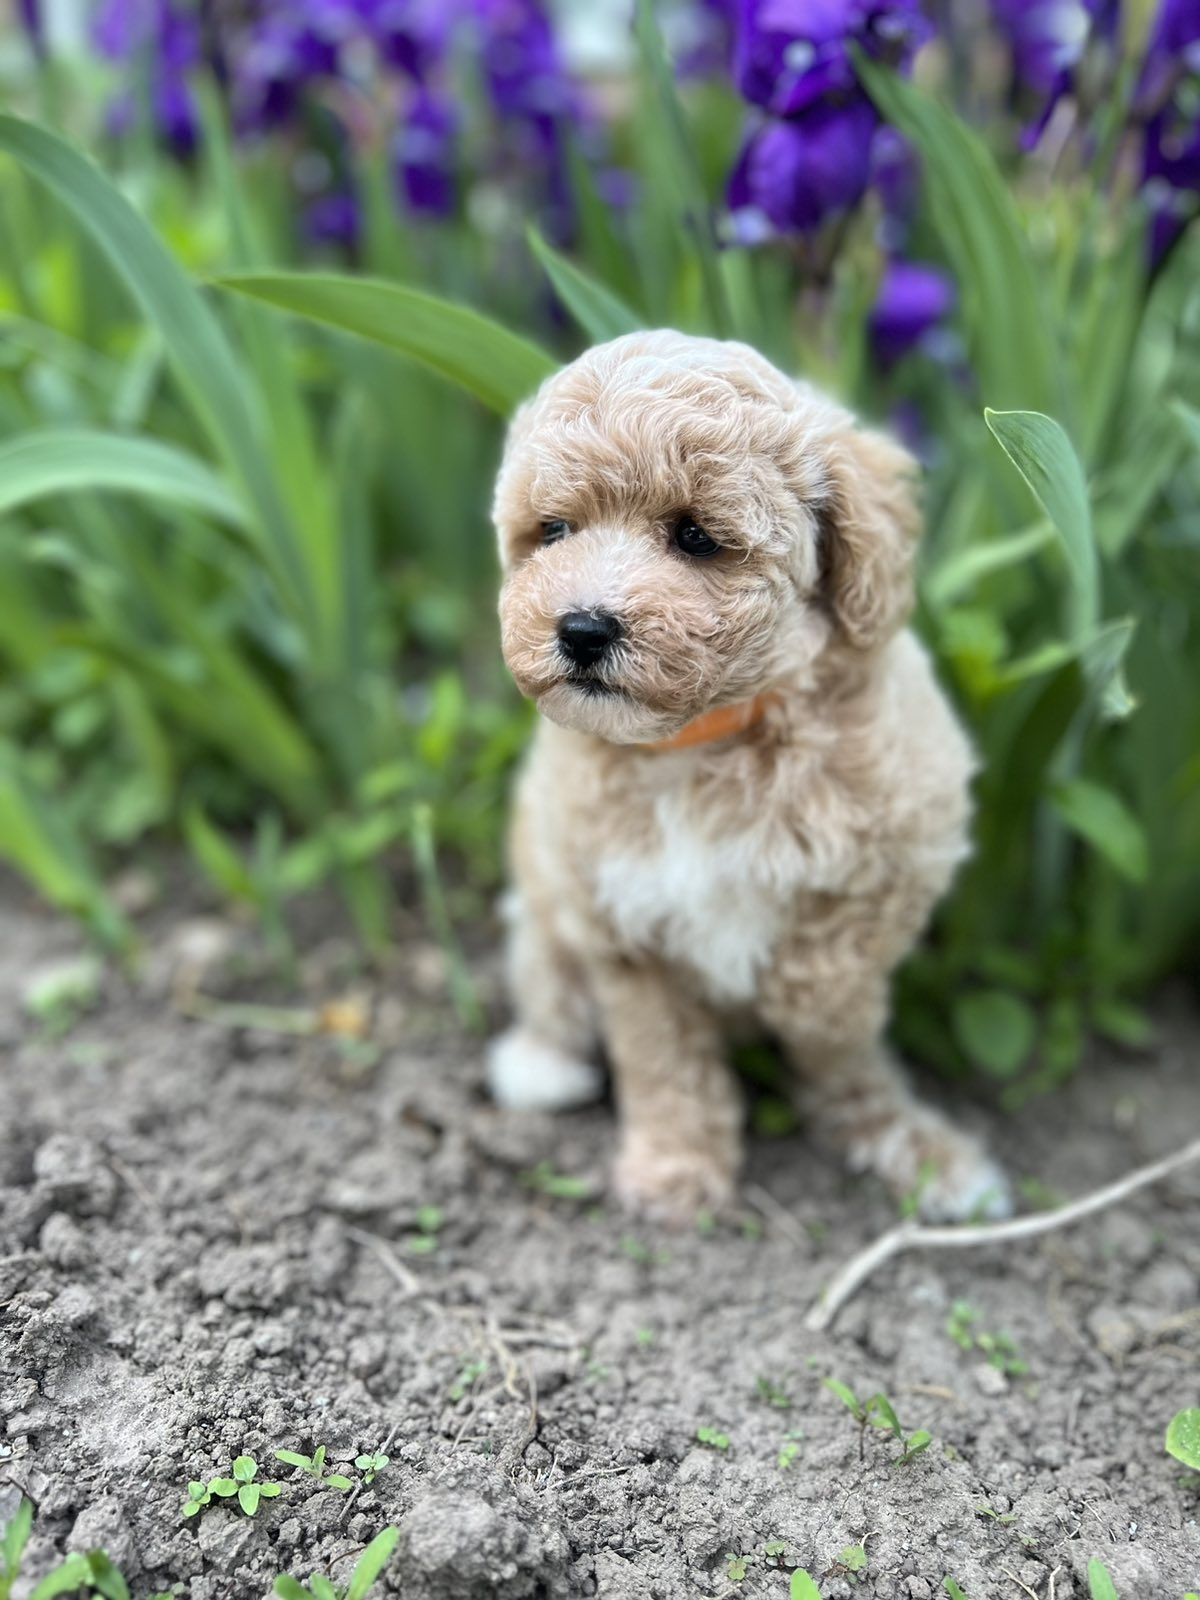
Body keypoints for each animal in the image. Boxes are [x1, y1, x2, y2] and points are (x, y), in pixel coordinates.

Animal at [483, 328, 1011, 1222]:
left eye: (696, 536)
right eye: (554, 530)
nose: (582, 628)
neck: (702, 741)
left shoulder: (902, 842)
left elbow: (830, 985)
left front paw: (798, 1007)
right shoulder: (620, 922)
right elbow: (662, 1058)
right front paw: (674, 1169)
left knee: (855, 1075)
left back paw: (921, 1151)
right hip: (545, 899)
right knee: (547, 977)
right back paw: (540, 1062)